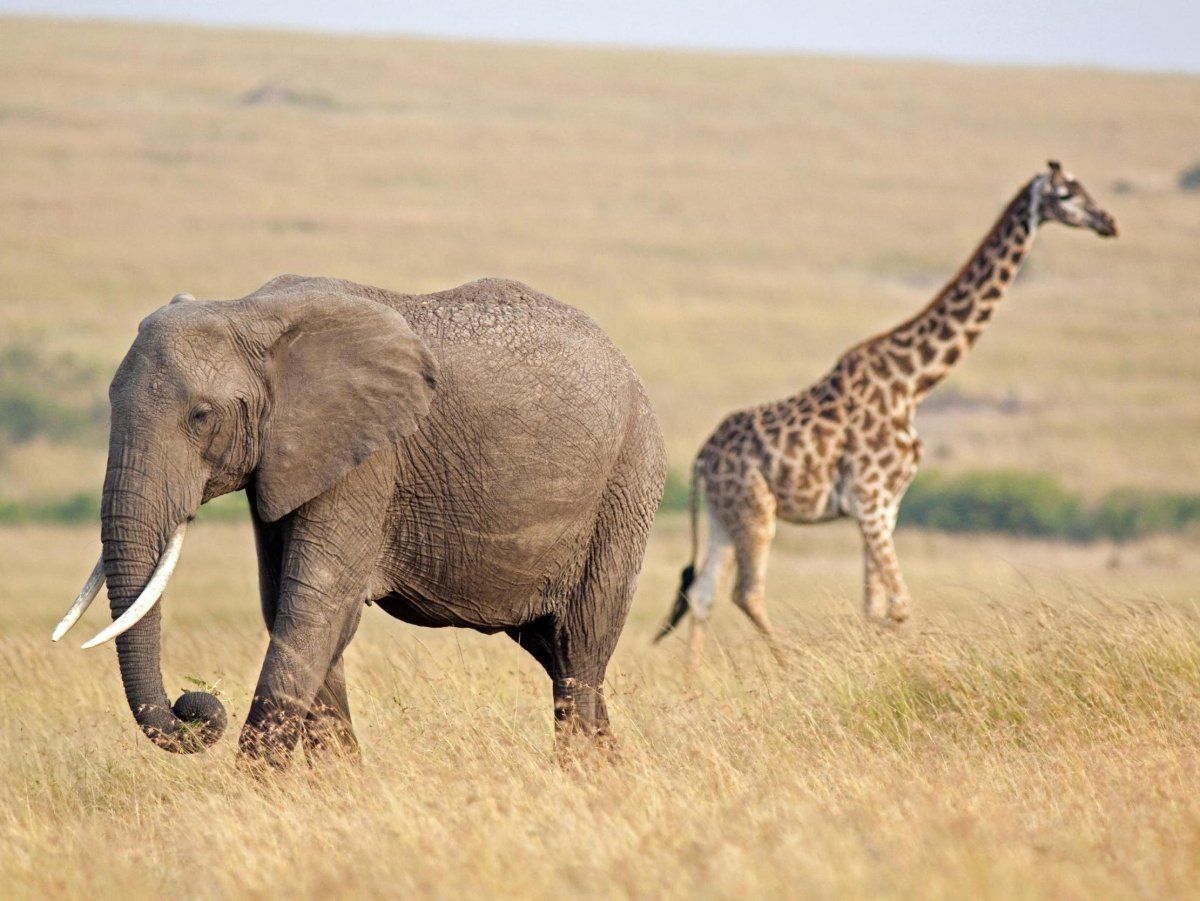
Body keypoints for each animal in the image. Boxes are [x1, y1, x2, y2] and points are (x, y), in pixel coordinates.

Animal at [56, 274, 667, 767]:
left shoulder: (368, 459)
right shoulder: (287, 459)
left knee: (578, 650)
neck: (248, 311)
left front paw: (254, 798)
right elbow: (291, 607)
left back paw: (581, 777)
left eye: (201, 416)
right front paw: (342, 789)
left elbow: (314, 604)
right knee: (558, 654)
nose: (194, 706)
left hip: (624, 487)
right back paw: (612, 774)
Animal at [657, 161, 1113, 657]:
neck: (913, 383)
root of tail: (701, 458)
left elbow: (874, 606)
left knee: (702, 594)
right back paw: (788, 662)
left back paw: (696, 676)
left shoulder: (887, 505)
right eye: (1067, 194)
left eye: (1086, 188)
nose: (1108, 222)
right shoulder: (870, 498)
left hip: (724, 514)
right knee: (746, 592)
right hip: (756, 510)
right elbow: (898, 605)